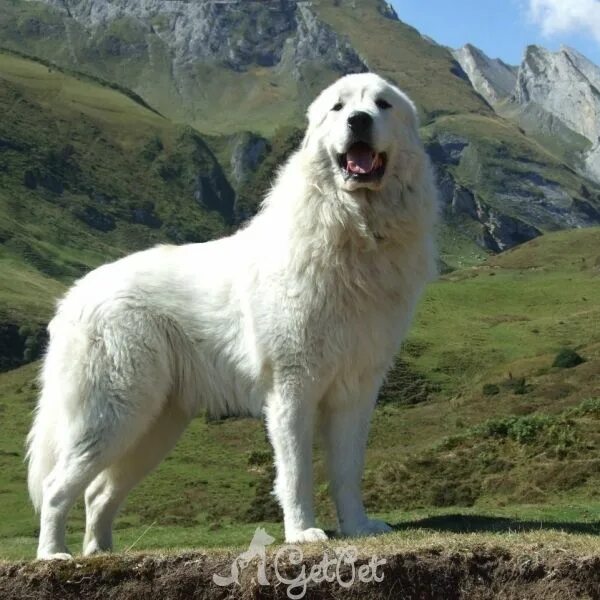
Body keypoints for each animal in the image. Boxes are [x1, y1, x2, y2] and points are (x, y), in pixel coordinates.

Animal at [27, 72, 436, 560]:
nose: (359, 121)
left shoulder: (355, 392)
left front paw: (357, 527)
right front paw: (302, 532)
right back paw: (54, 555)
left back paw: (102, 552)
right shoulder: (292, 388)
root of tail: (74, 296)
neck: (353, 232)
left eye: (382, 105)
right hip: (114, 413)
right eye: (338, 108)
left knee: (98, 493)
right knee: (57, 486)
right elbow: (296, 472)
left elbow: (347, 470)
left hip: (155, 427)